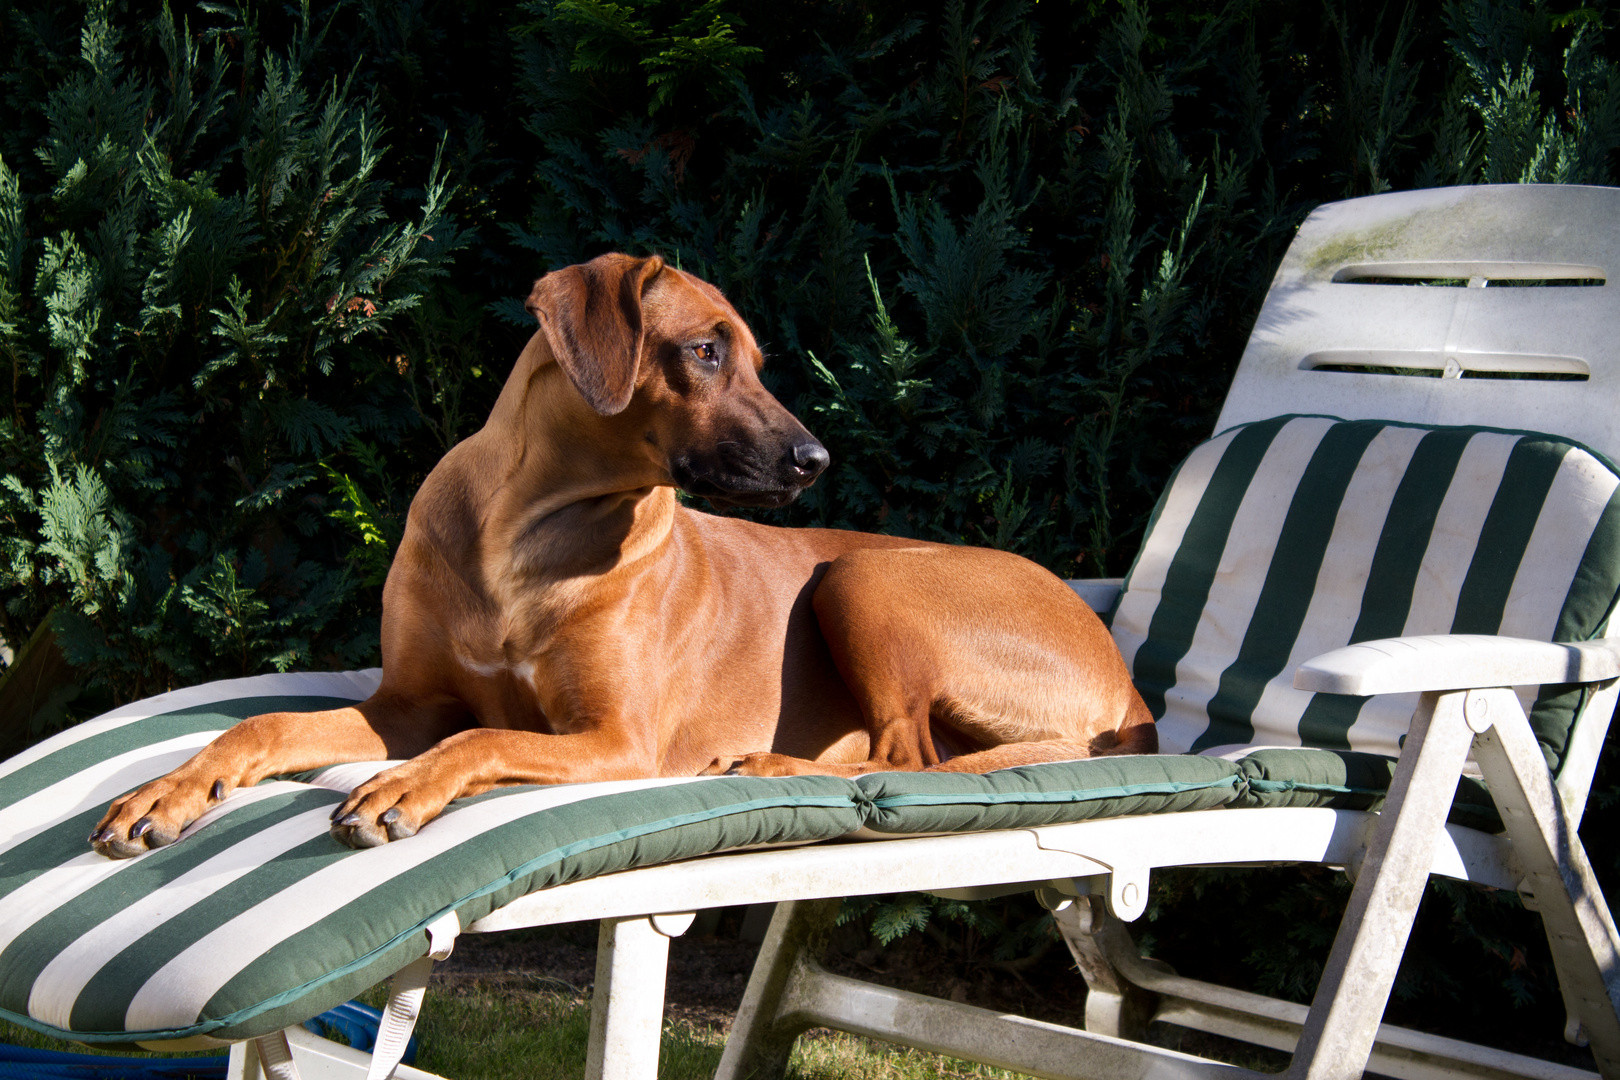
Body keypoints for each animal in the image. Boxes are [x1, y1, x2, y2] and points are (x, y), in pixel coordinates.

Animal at [88, 255, 1159, 861]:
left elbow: (480, 738)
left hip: (862, 573)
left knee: (909, 759)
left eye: (755, 359)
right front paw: (167, 791)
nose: (816, 459)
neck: (529, 532)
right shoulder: (405, 706)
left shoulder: (617, 739)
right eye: (707, 352)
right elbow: (264, 723)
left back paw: (768, 763)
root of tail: (1128, 685)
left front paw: (401, 788)